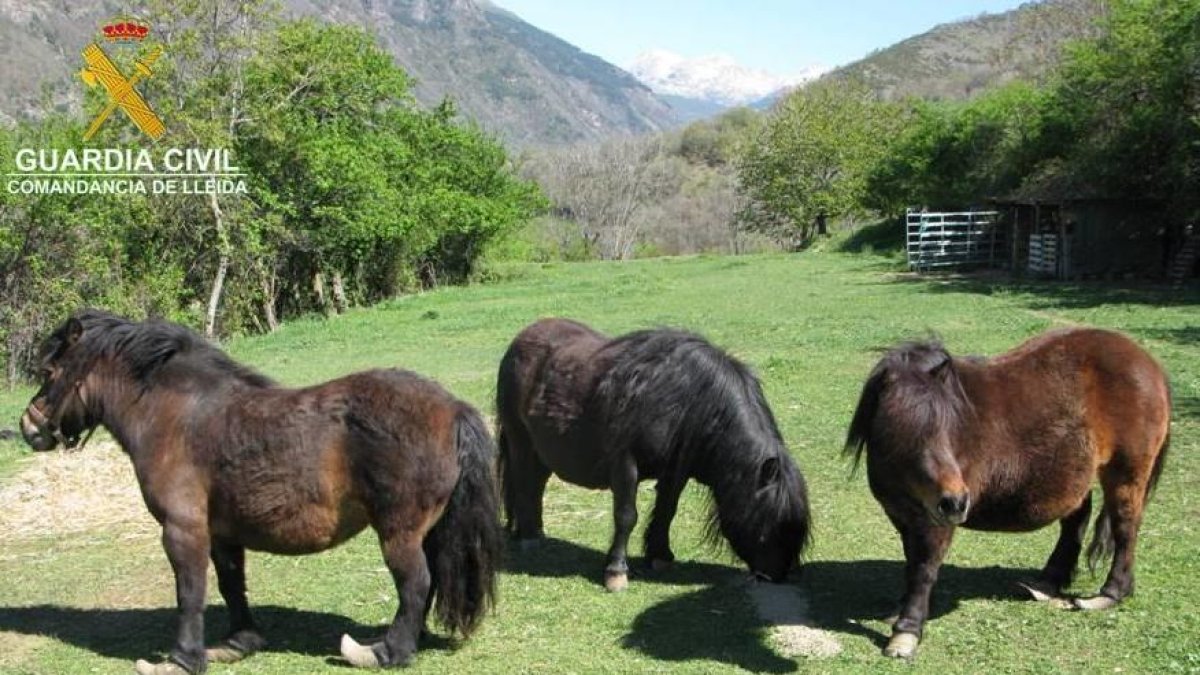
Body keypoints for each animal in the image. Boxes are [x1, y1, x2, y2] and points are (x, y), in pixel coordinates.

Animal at [21, 309, 504, 667]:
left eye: (49, 370)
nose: (28, 427)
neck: (177, 416)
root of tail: (453, 408)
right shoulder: (221, 532)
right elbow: (230, 583)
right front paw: (239, 642)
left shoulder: (182, 528)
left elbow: (189, 592)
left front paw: (184, 658)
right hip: (430, 530)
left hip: (398, 533)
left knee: (416, 583)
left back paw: (387, 651)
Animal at [844, 326, 1171, 658]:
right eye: (908, 429)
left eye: (950, 428)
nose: (956, 503)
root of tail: (1147, 363)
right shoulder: (904, 515)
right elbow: (912, 563)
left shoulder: (934, 519)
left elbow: (924, 568)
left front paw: (906, 631)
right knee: (1076, 520)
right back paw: (1047, 582)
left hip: (1126, 473)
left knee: (1125, 527)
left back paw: (1111, 593)